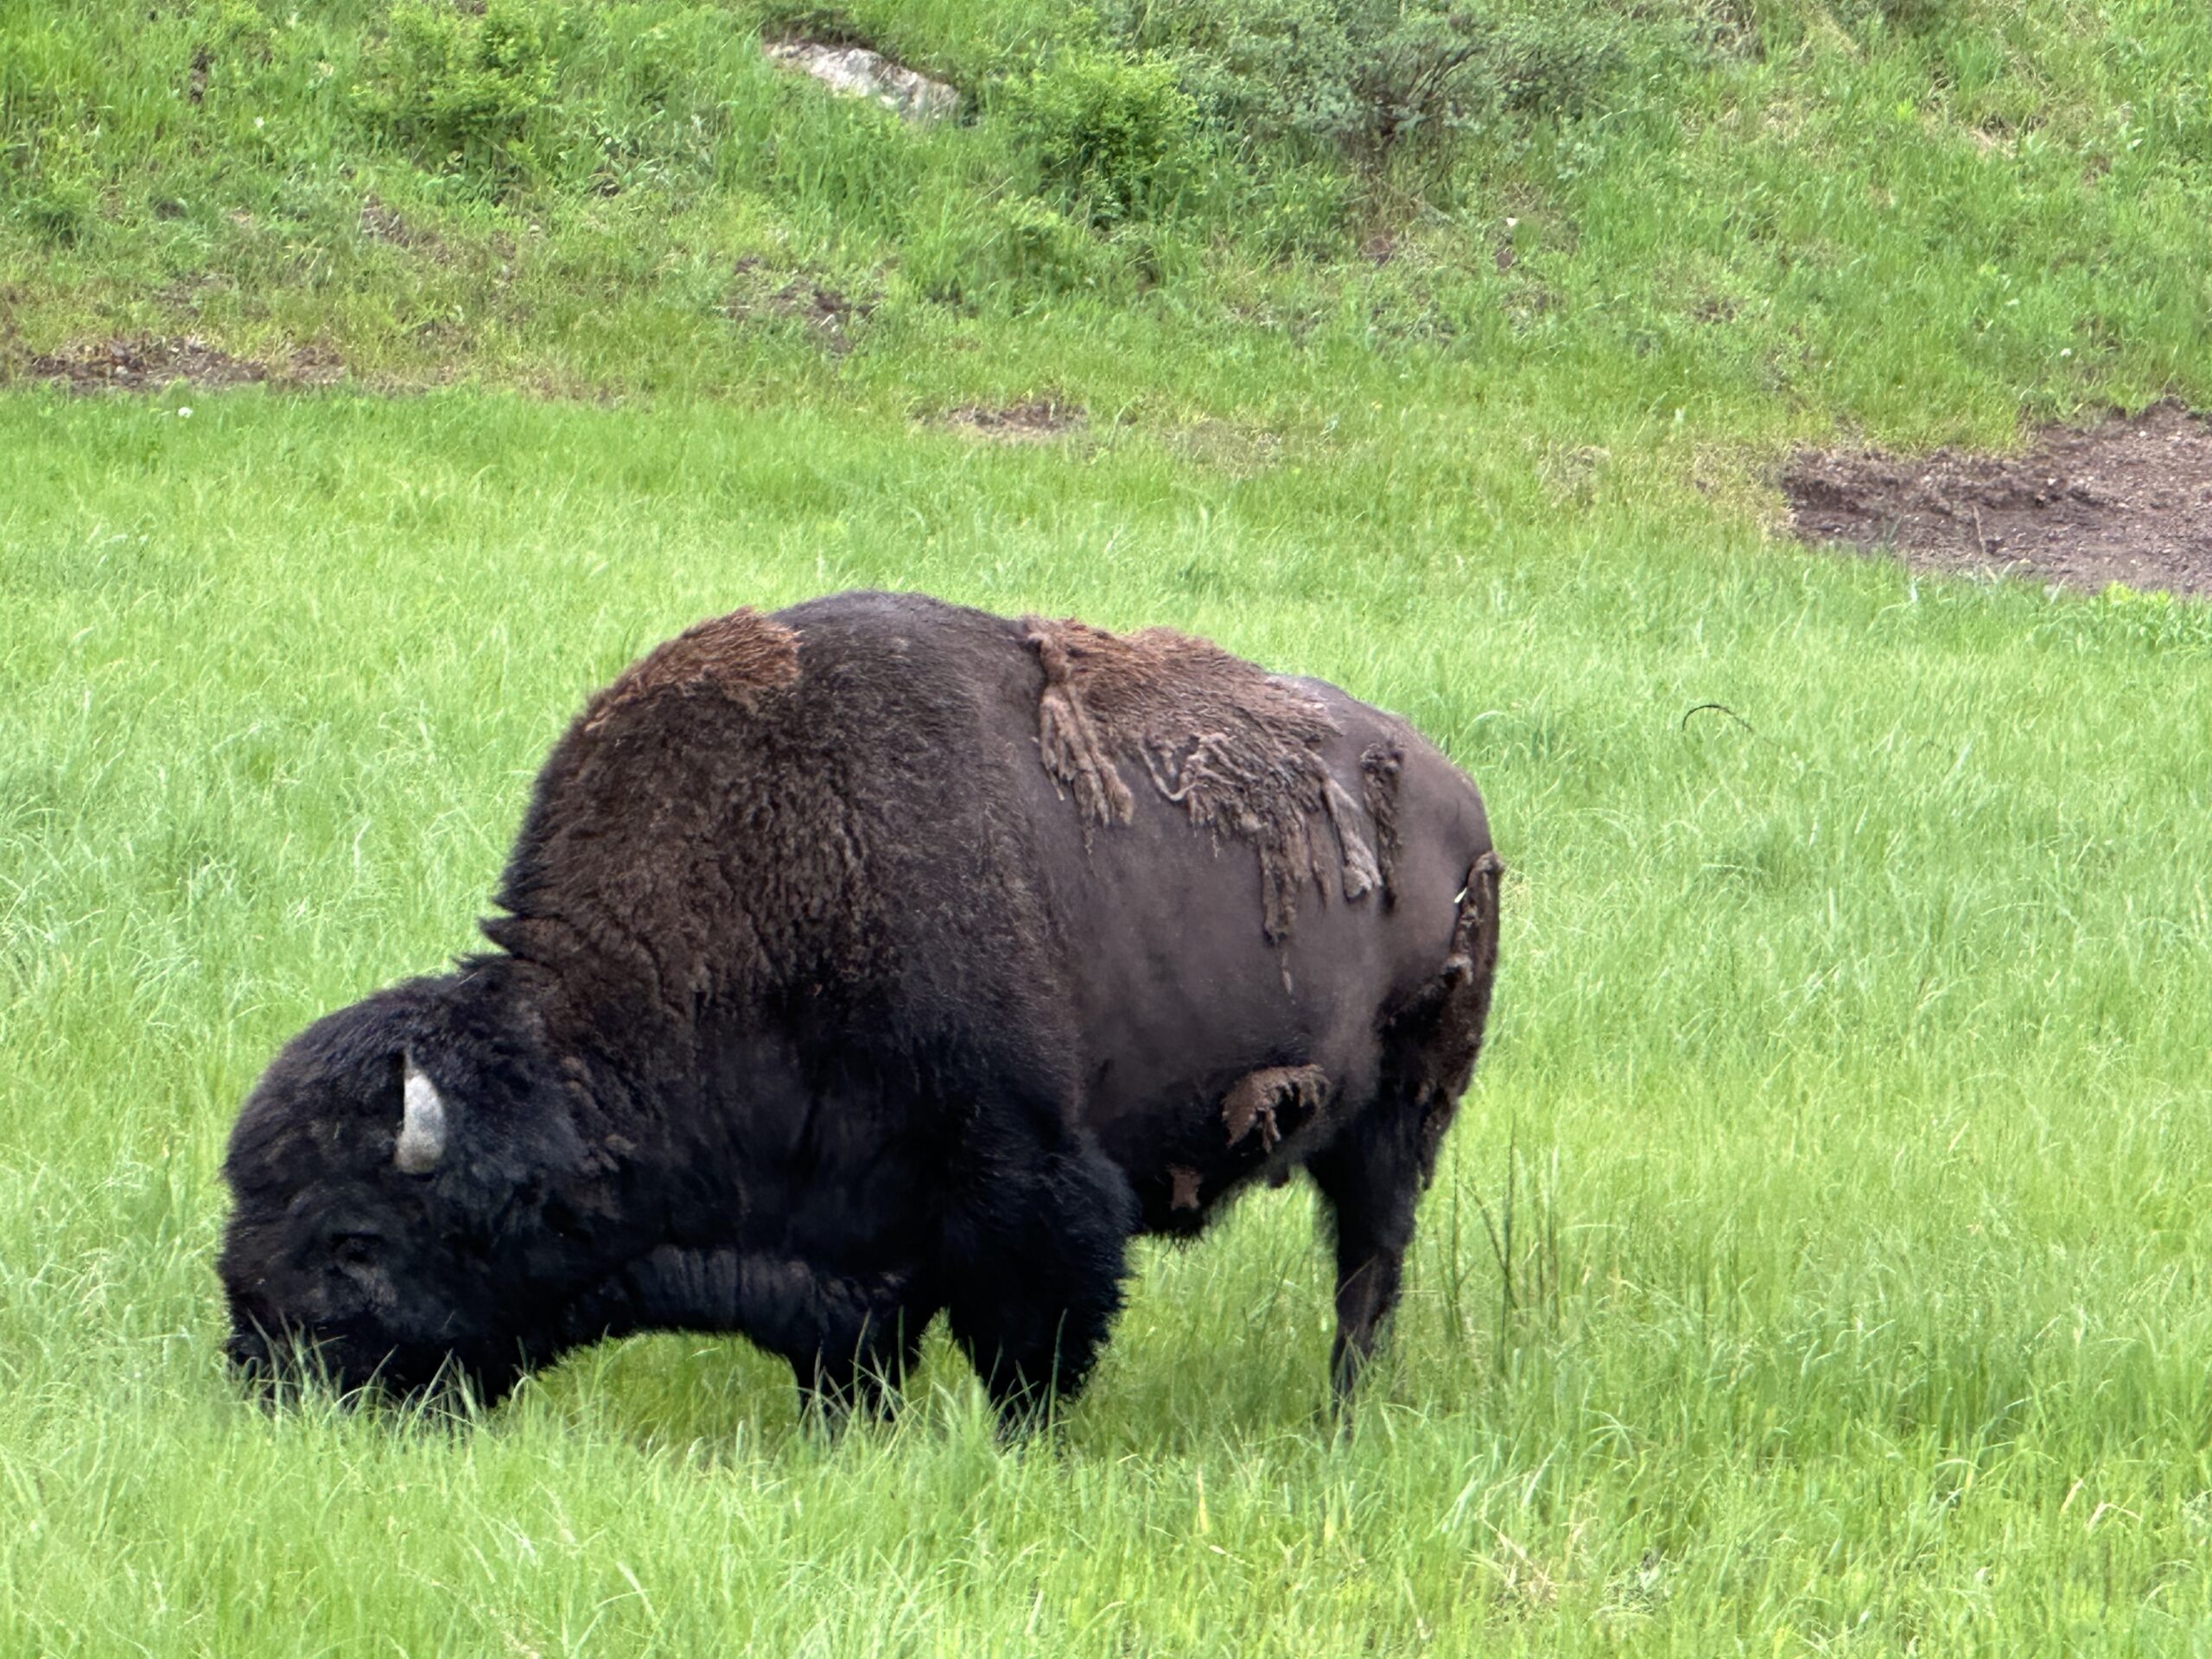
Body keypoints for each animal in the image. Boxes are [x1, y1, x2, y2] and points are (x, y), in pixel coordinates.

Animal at [219, 593, 1503, 1433]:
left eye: (354, 1240)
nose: (265, 1380)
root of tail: (1456, 800)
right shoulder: (844, 1250)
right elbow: (849, 1367)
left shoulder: (1029, 1193)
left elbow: (1033, 1349)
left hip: (1398, 1122)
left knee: (1368, 1273)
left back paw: (1340, 1420)